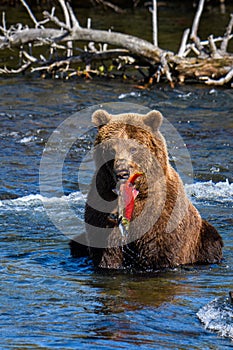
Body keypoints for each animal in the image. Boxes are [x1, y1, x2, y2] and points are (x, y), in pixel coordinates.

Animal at [69, 109, 224, 270]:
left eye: (133, 148)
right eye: (112, 148)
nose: (122, 173)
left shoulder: (161, 217)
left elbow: (160, 254)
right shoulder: (102, 208)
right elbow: (107, 254)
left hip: (203, 238)